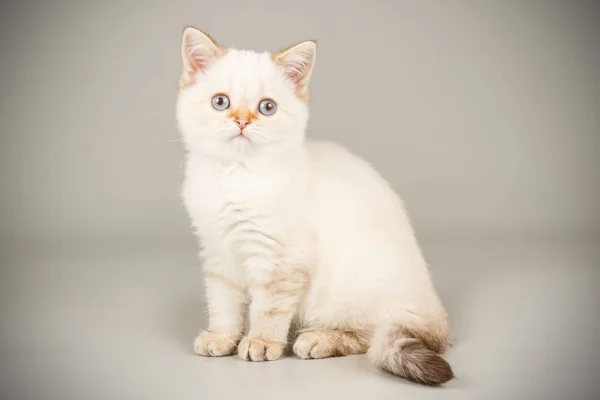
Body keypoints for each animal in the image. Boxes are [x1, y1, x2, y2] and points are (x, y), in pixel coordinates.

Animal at [178, 26, 454, 386]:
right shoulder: (217, 250)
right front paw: (221, 337)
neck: (235, 176)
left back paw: (316, 339)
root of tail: (435, 310)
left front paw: (261, 342)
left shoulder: (281, 258)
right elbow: (222, 302)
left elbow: (268, 307)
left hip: (352, 288)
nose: (242, 122)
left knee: (375, 334)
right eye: (220, 102)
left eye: (267, 107)